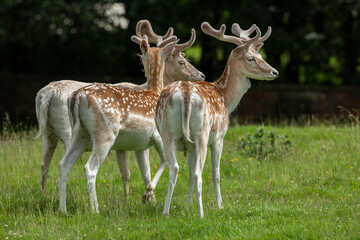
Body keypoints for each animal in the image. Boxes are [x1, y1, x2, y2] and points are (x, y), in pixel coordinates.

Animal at [34, 20, 204, 197]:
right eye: (181, 61)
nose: (202, 75)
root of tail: (46, 95)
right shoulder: (152, 138)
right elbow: (145, 170)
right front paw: (148, 195)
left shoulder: (127, 145)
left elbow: (129, 173)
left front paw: (131, 198)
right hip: (71, 132)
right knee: (80, 166)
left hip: (50, 133)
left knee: (47, 164)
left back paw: (45, 195)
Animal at [148, 22, 280, 218]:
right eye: (251, 58)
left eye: (260, 56)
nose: (274, 72)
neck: (224, 97)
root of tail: (185, 94)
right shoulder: (219, 138)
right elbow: (216, 174)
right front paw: (220, 206)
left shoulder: (188, 146)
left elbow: (188, 174)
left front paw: (188, 206)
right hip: (201, 134)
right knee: (198, 173)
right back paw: (202, 214)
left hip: (168, 134)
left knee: (175, 169)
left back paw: (166, 212)